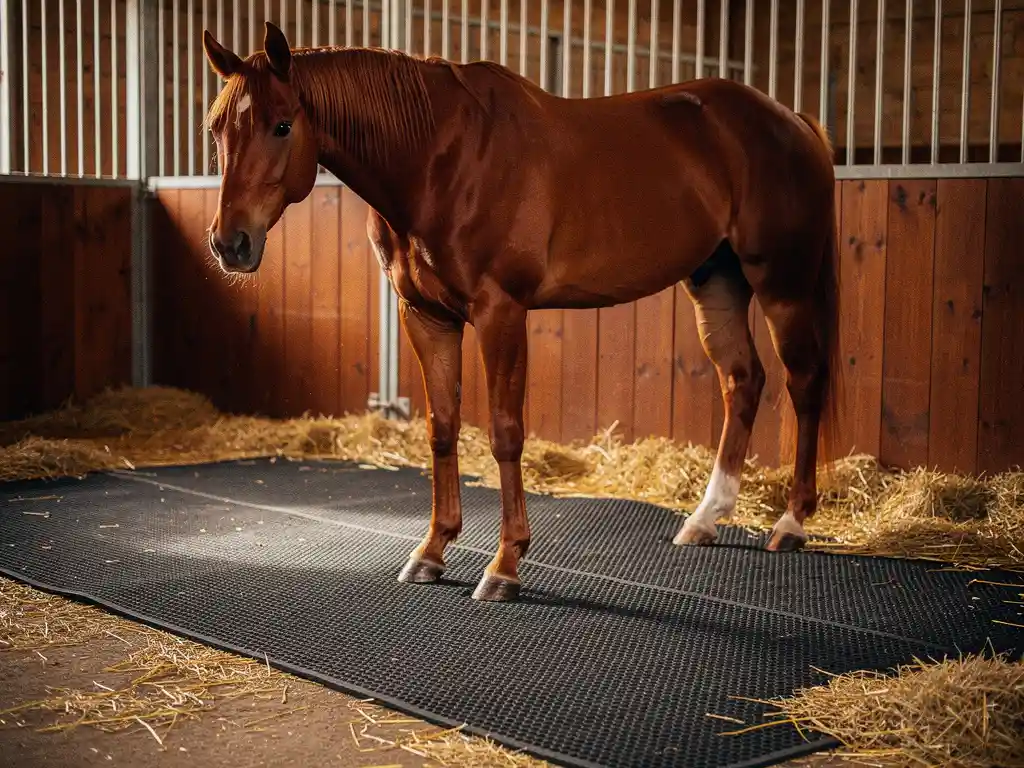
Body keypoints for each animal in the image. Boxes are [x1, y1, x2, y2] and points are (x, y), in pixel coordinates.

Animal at [201, 22, 842, 603]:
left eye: (283, 124)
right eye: (215, 129)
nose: (231, 243)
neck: (439, 157)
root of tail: (793, 120)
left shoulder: (500, 312)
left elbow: (506, 433)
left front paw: (505, 565)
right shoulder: (425, 316)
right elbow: (442, 428)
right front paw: (431, 552)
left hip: (781, 284)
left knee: (804, 382)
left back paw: (791, 523)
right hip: (717, 279)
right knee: (743, 380)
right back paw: (705, 518)